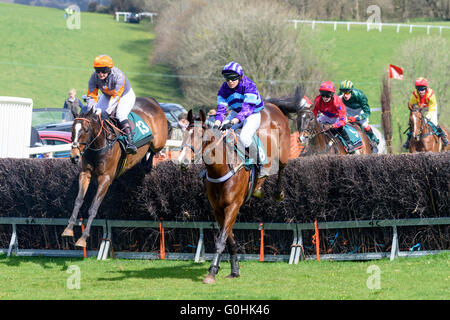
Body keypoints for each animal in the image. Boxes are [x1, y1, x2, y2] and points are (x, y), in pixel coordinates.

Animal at [62, 97, 169, 248]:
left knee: (154, 149)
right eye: (72, 129)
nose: (74, 157)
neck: (99, 144)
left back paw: (148, 163)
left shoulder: (105, 179)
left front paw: (83, 238)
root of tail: (152, 100)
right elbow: (78, 200)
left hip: (159, 142)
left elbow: (93, 208)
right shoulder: (85, 174)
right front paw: (69, 228)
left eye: (86, 130)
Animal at [178, 104, 290, 284]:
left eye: (201, 135)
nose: (183, 161)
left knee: (282, 167)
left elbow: (221, 240)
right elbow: (229, 239)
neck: (221, 169)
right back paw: (258, 190)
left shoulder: (233, 206)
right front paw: (234, 270)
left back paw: (278, 193)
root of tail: (272, 106)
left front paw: (211, 272)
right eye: (184, 134)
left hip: (284, 150)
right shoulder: (218, 209)